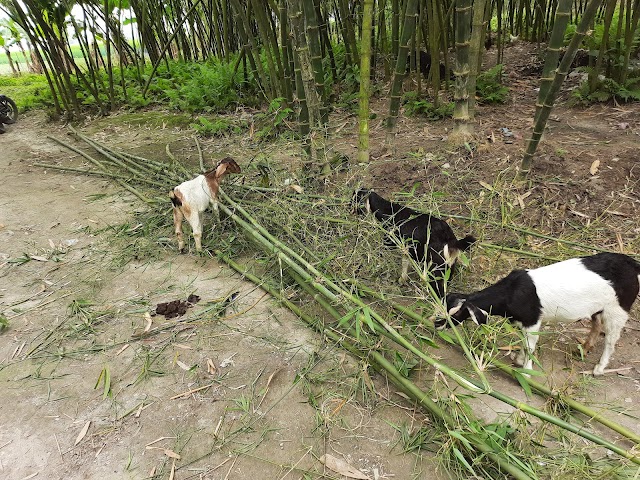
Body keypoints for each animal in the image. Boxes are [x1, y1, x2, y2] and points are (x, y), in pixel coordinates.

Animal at [438, 251, 640, 376]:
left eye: (457, 313)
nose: (437, 324)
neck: (511, 292)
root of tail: (634, 265)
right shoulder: (522, 321)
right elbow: (523, 341)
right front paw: (518, 359)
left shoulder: (532, 320)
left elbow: (530, 345)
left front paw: (526, 371)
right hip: (599, 308)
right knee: (596, 325)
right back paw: (583, 348)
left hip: (618, 309)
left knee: (611, 339)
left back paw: (599, 368)